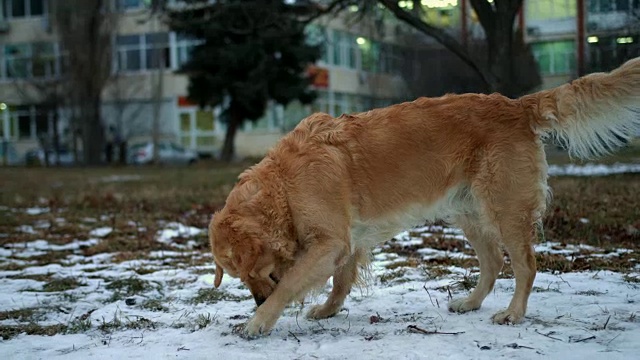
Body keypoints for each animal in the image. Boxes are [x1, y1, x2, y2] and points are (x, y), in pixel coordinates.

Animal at [209, 57, 640, 336]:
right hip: (470, 213)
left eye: (253, 271)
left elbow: (291, 284)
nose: (255, 301)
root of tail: (516, 104)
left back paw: (513, 314)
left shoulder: (329, 242)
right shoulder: (346, 240)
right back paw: (470, 303)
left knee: (525, 266)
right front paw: (328, 310)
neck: (284, 184)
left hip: (505, 210)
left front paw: (258, 322)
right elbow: (341, 281)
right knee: (494, 262)